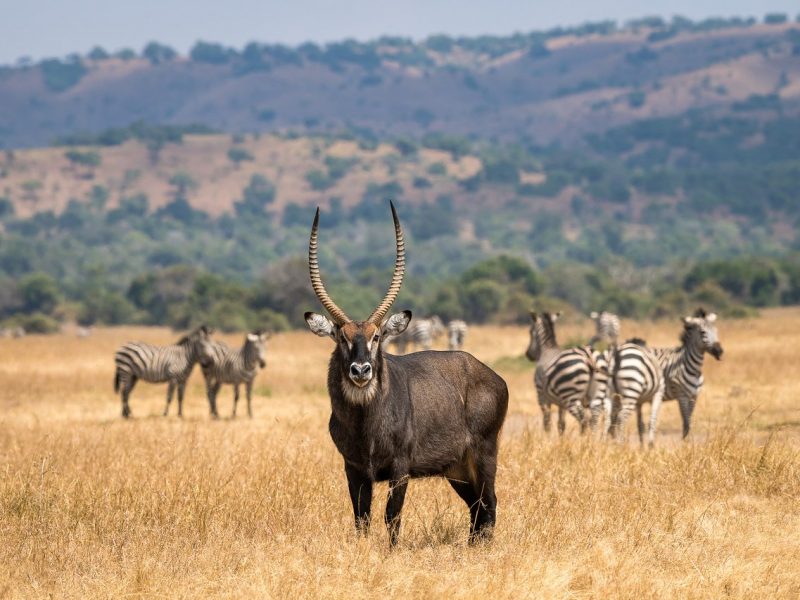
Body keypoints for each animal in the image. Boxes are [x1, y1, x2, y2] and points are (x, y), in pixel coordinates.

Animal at [304, 204, 510, 548]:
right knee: (476, 507)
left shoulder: (400, 468)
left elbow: (392, 518)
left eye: (377, 336)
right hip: (456, 469)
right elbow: (361, 520)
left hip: (484, 454)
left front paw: (391, 552)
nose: (361, 370)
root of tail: (493, 376)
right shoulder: (354, 468)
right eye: (341, 337)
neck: (365, 423)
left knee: (489, 503)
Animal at [648, 310, 724, 440]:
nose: (719, 351)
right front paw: (685, 443)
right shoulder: (682, 396)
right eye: (703, 332)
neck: (694, 369)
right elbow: (686, 423)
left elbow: (688, 422)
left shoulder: (694, 396)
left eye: (716, 331)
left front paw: (687, 442)